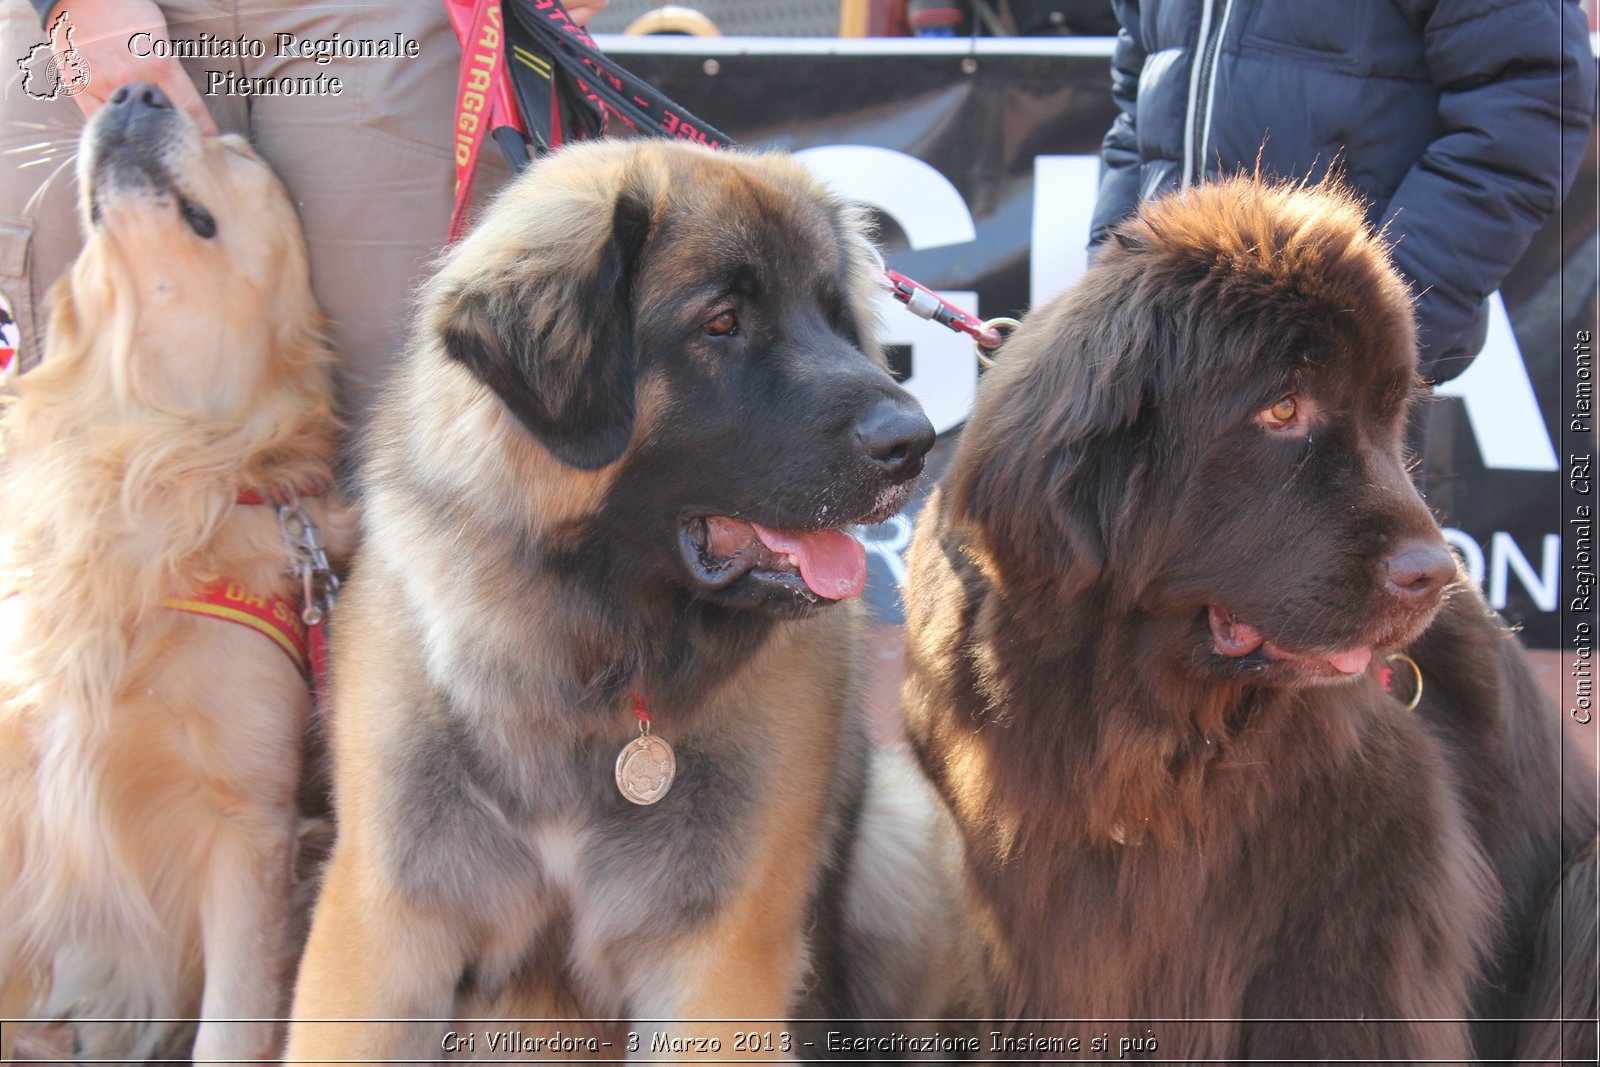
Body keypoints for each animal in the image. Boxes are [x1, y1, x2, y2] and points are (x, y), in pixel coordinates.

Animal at [289, 139, 979, 1062]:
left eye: (836, 319)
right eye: (720, 323)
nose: (913, 443)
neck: (596, 658)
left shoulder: (713, 953)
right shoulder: (385, 922)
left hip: (901, 834)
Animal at [908, 175, 1593, 1062]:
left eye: (1388, 415)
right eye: (1282, 409)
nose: (1435, 573)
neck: (1142, 730)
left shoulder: (1352, 926)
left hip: (1586, 893)